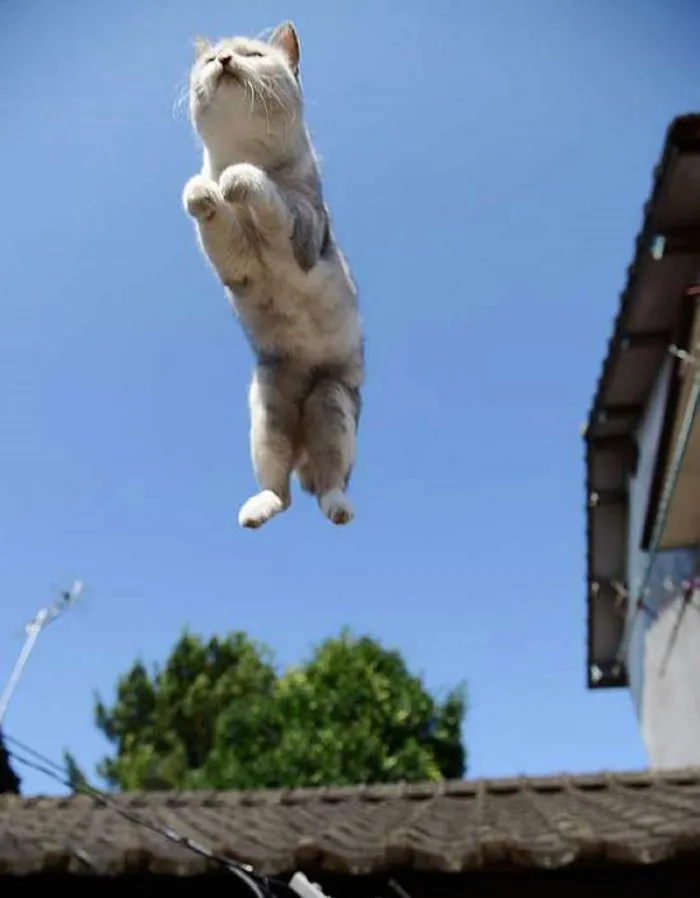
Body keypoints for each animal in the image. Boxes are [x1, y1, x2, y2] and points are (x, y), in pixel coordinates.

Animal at [182, 21, 364, 530]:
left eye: (252, 54)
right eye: (211, 60)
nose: (225, 60)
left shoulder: (303, 230)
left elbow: (267, 194)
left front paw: (239, 181)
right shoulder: (238, 266)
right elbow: (211, 210)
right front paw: (205, 191)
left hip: (331, 402)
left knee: (329, 481)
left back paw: (337, 505)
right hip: (268, 409)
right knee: (278, 491)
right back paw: (257, 508)